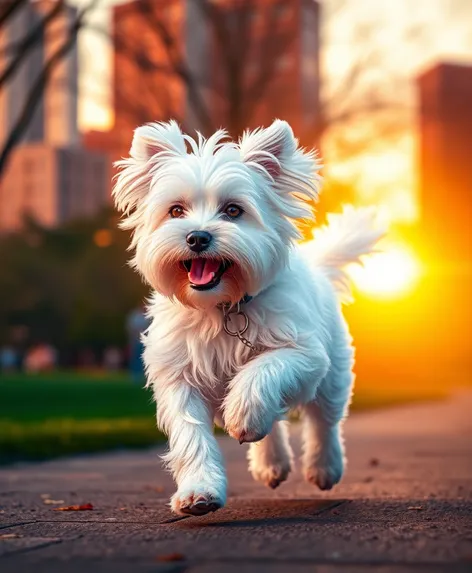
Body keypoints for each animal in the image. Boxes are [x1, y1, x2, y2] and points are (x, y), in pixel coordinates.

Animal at [114, 118, 384, 516]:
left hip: (333, 372)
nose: (197, 237)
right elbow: (191, 436)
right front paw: (199, 491)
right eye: (176, 211)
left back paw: (324, 467)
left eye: (233, 210)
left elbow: (260, 372)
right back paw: (271, 463)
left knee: (324, 421)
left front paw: (241, 414)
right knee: (275, 426)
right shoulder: (179, 378)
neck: (221, 307)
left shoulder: (302, 353)